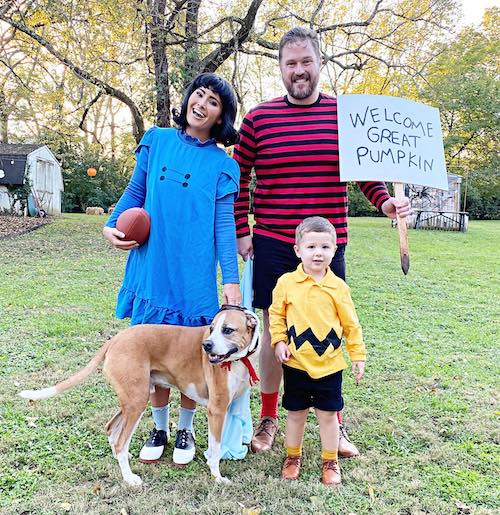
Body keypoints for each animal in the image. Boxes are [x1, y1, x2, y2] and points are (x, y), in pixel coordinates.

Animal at [18, 306, 262, 488]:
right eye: (211, 328)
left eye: (227, 330)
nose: (206, 345)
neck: (238, 360)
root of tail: (114, 340)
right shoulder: (217, 410)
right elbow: (216, 447)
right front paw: (217, 477)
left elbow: (214, 447)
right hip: (137, 400)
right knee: (120, 442)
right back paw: (129, 478)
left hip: (132, 399)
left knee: (112, 430)